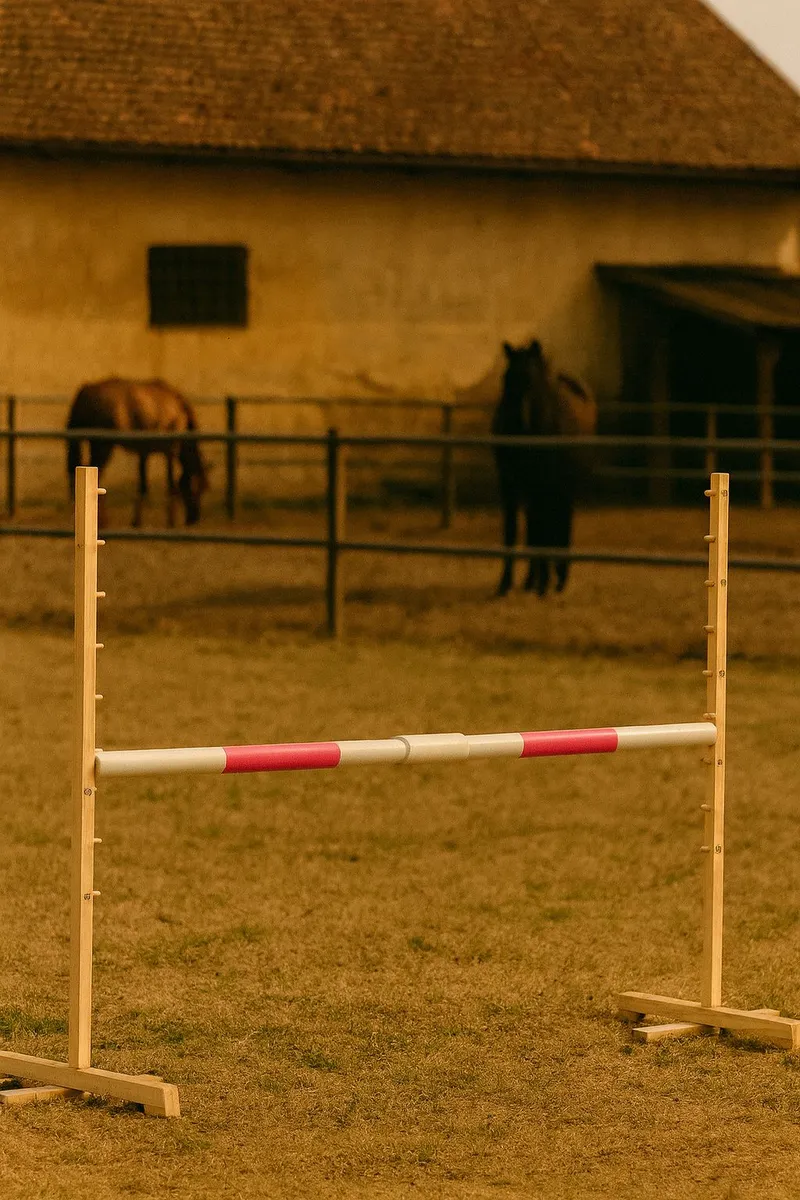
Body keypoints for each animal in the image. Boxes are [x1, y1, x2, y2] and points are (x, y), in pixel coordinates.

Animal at [66, 378, 209, 527]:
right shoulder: (169, 452)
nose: (194, 518)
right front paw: (170, 522)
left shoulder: (143, 453)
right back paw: (103, 521)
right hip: (102, 447)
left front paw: (137, 521)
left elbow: (142, 486)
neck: (177, 412)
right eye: (198, 489)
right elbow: (169, 486)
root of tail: (86, 390)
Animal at [492, 339, 597, 596]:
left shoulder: (542, 484)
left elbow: (541, 529)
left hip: (563, 486)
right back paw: (538, 578)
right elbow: (513, 531)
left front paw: (543, 581)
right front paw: (506, 583)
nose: (513, 425)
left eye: (530, 380)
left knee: (560, 519)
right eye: (505, 378)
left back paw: (556, 577)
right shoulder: (509, 483)